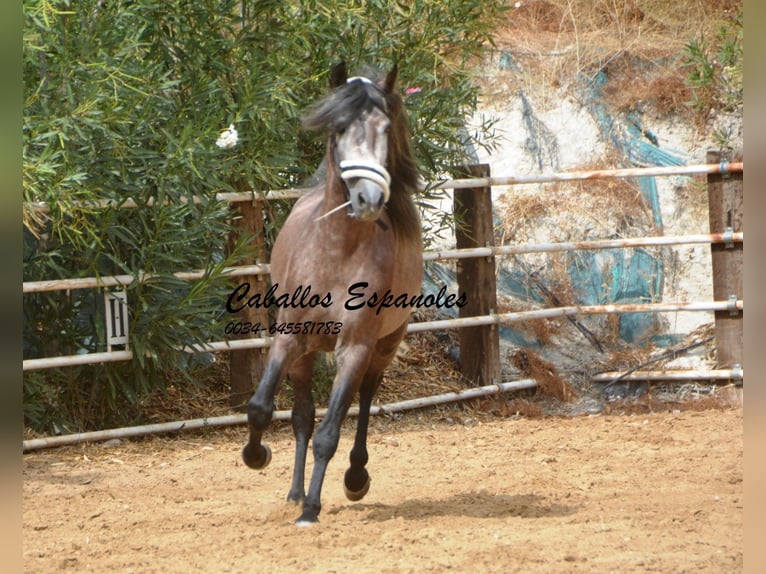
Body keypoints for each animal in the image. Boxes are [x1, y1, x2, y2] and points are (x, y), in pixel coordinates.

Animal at [242, 62, 426, 528]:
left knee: (363, 401)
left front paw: (313, 509)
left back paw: (353, 479)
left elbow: (330, 432)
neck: (337, 254)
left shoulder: (356, 347)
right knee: (302, 416)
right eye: (338, 127)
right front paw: (256, 456)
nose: (369, 198)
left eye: (385, 127)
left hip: (384, 345)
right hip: (307, 354)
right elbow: (262, 407)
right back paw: (293, 491)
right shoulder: (288, 338)